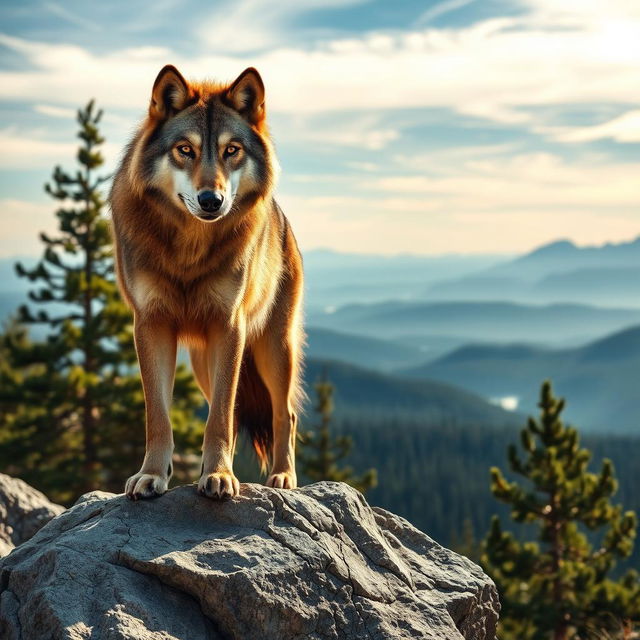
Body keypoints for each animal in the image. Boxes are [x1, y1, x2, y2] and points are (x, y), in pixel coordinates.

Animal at [110, 65, 304, 500]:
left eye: (232, 150)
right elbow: (158, 416)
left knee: (284, 413)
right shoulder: (150, 325)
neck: (189, 247)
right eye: (185, 149)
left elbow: (221, 420)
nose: (211, 200)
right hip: (203, 363)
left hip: (272, 348)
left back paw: (283, 477)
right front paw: (152, 475)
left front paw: (219, 475)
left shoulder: (229, 326)